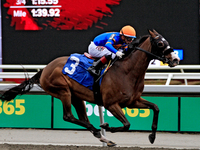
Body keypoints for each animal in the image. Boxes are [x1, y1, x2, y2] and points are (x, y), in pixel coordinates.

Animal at [0, 29, 180, 146]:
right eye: (160, 43)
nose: (175, 59)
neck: (127, 71)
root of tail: (45, 69)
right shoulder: (111, 104)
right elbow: (127, 125)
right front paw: (107, 126)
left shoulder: (132, 101)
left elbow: (155, 108)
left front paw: (152, 136)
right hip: (63, 91)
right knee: (68, 116)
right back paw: (99, 131)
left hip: (76, 96)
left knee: (82, 118)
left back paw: (101, 136)